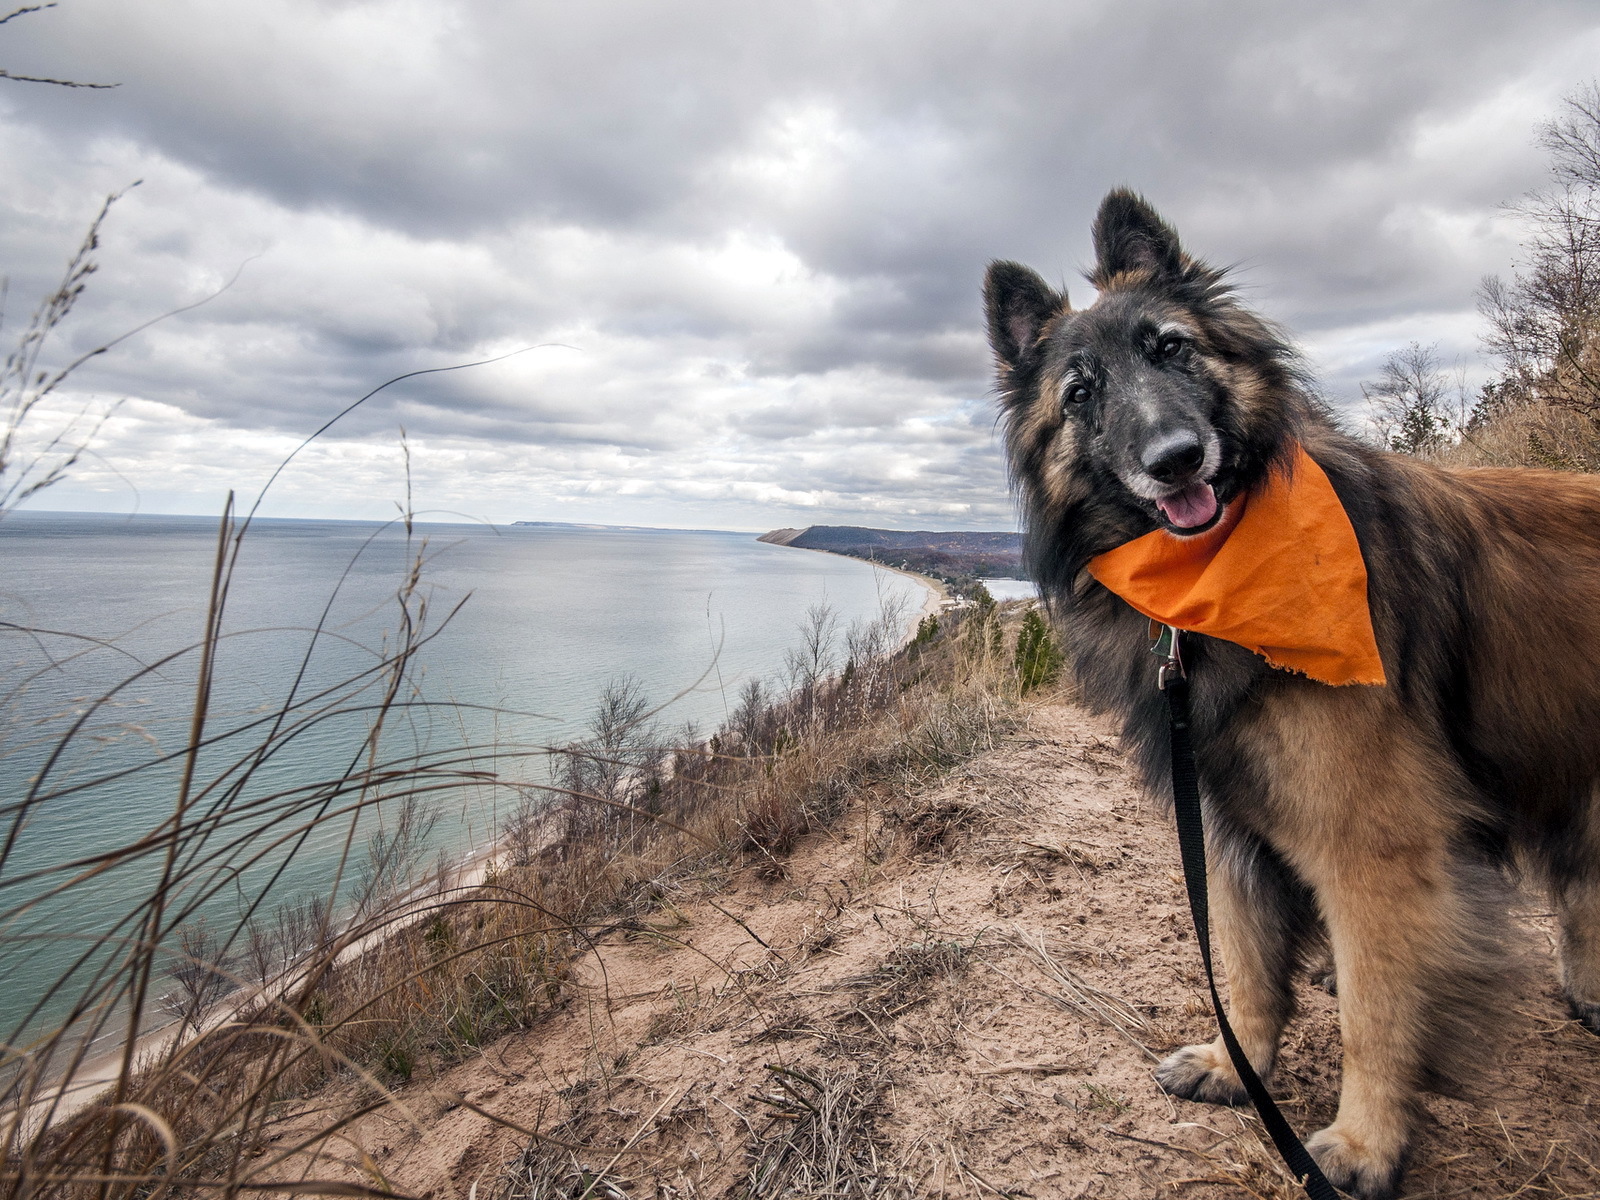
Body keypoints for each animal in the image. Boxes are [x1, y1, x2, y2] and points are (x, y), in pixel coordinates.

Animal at [984, 189, 1600, 1199]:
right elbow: (1244, 966)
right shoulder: (1225, 827)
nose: (1176, 458)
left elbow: (1374, 1014)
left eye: (1171, 348)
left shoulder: (1374, 849)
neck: (1215, 588)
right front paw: (1237, 1067)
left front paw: (1363, 1145)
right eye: (1081, 394)